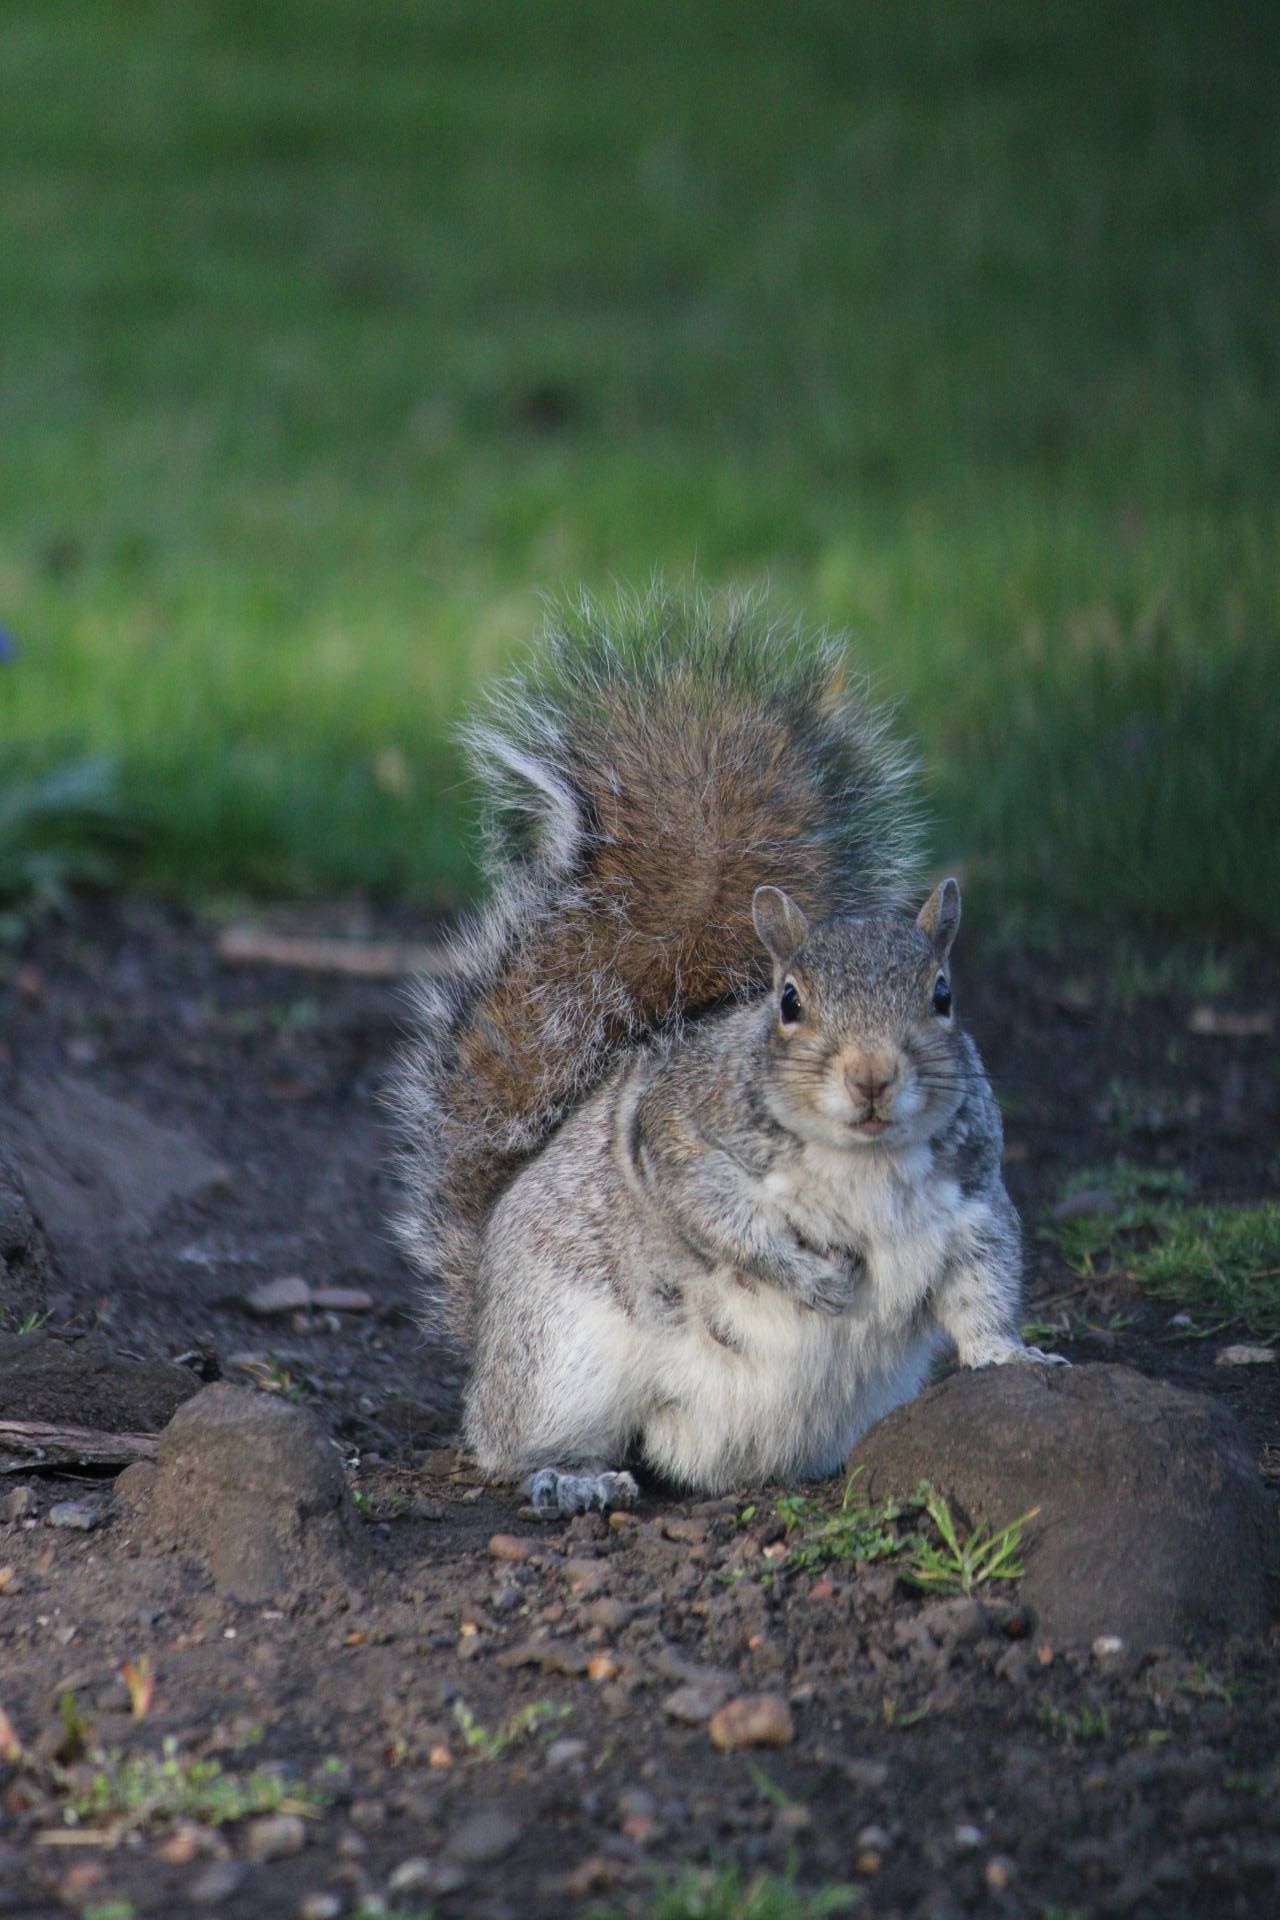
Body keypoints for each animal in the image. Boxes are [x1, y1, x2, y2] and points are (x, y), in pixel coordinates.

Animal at [392, 586, 1059, 1518]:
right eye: (789, 1002)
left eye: (943, 996)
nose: (872, 1076)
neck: (863, 1159)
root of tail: (484, 1330)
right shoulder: (675, 1130)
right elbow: (718, 1214)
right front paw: (811, 1278)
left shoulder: (972, 1201)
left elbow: (983, 1289)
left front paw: (1013, 1354)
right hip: (561, 1356)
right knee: (521, 1446)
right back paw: (573, 1474)